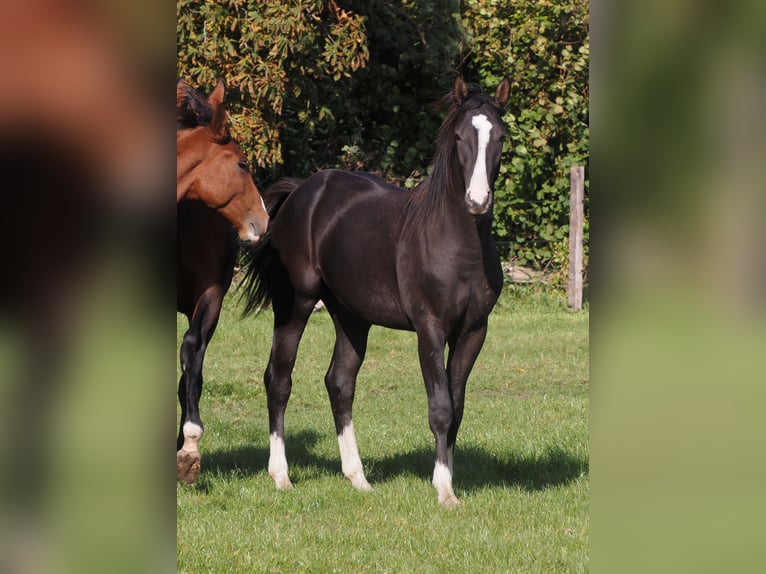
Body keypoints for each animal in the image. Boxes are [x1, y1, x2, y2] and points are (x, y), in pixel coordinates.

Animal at [243, 77, 512, 508]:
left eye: (500, 136)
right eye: (459, 136)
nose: (477, 200)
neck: (456, 244)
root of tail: (302, 191)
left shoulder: (473, 332)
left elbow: (457, 408)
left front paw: (449, 480)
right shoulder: (430, 330)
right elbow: (441, 408)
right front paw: (444, 489)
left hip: (352, 318)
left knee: (339, 383)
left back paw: (358, 478)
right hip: (295, 305)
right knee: (278, 380)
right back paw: (281, 476)